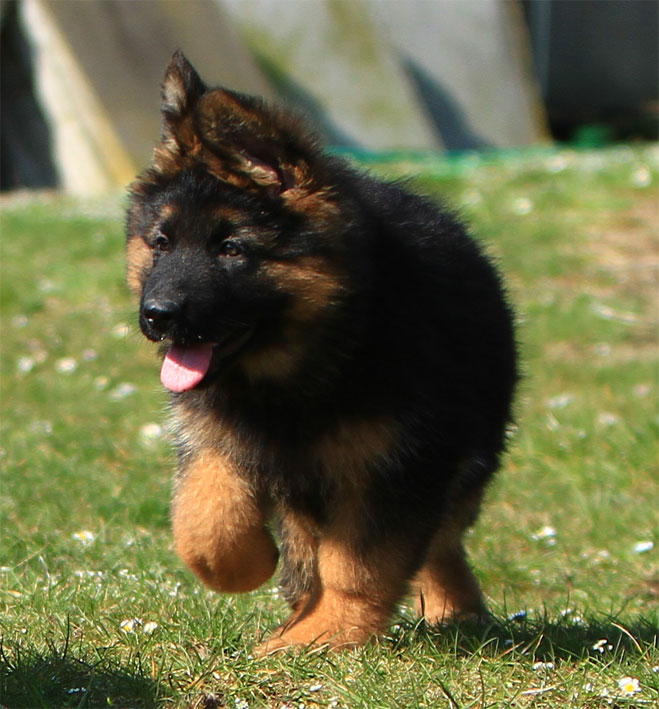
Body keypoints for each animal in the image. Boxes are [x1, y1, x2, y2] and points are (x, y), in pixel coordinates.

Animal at [125, 51, 518, 652]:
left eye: (232, 249)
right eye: (161, 243)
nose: (156, 316)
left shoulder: (396, 465)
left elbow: (360, 564)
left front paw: (325, 634)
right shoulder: (218, 436)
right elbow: (205, 519)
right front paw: (250, 567)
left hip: (465, 455)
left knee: (440, 537)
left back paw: (456, 608)